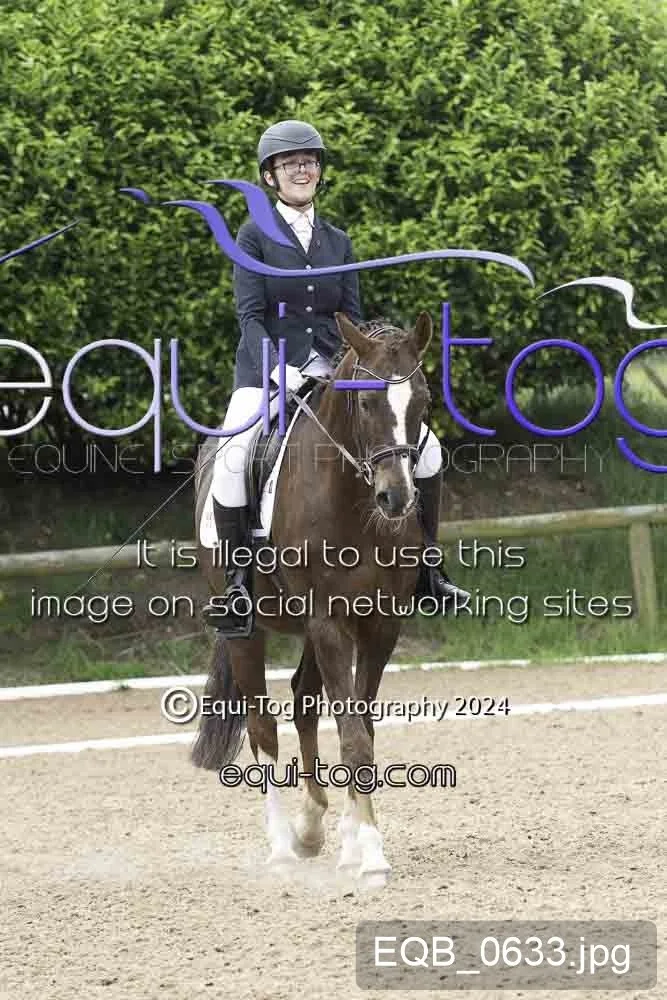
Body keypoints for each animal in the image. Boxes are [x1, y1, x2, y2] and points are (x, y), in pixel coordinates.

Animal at [191, 310, 434, 889]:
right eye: (364, 403)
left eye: (423, 400)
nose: (396, 498)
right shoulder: (328, 622)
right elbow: (353, 736)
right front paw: (372, 856)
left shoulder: (380, 625)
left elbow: (360, 728)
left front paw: (357, 840)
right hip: (249, 630)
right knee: (262, 725)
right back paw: (282, 847)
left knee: (303, 701)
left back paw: (314, 828)